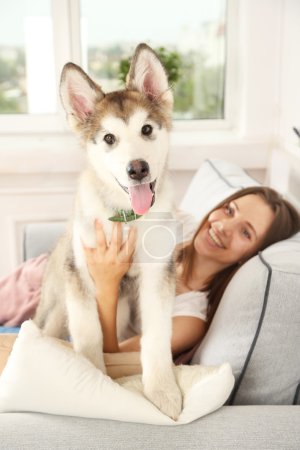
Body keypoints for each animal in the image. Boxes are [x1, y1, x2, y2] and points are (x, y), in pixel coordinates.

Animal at [34, 43, 182, 418]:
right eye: (109, 138)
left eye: (147, 130)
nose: (137, 169)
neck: (127, 219)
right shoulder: (81, 272)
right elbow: (88, 334)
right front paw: (93, 381)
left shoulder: (158, 273)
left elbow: (157, 336)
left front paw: (163, 390)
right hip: (56, 299)